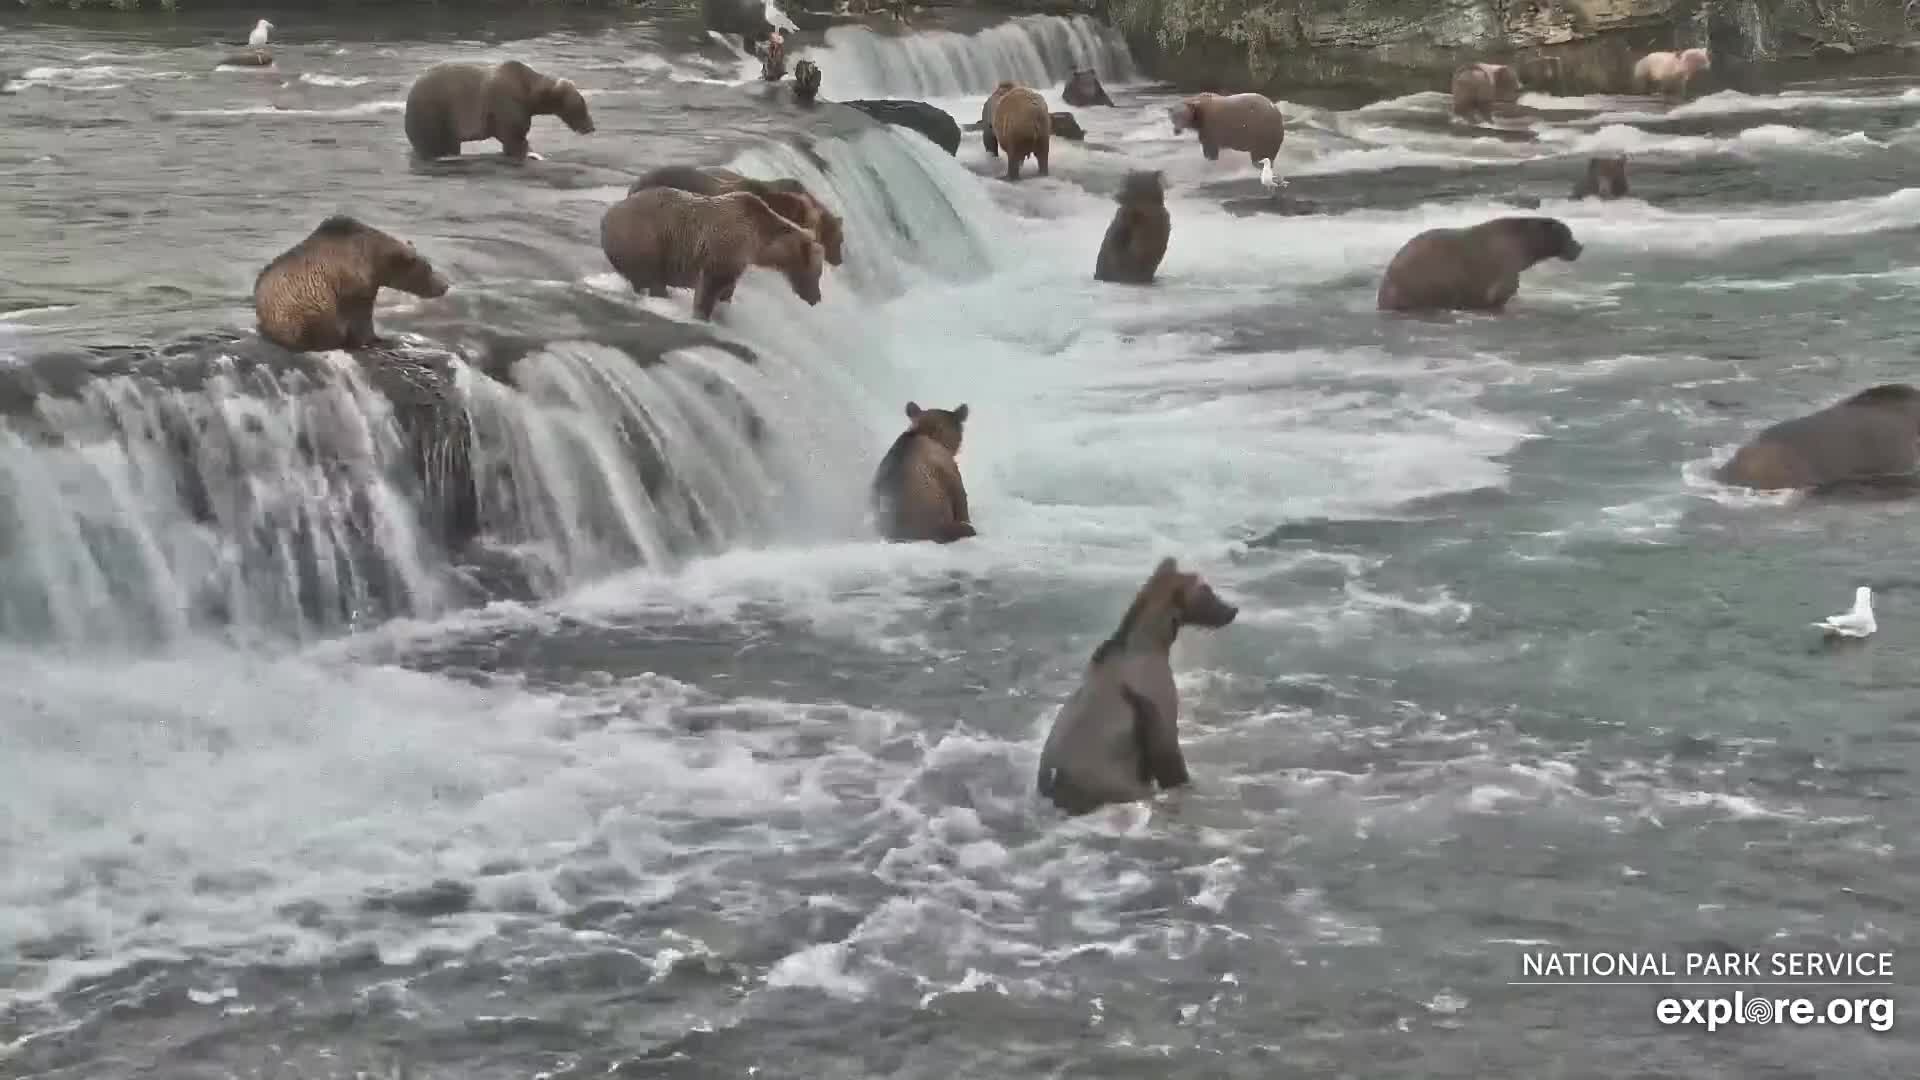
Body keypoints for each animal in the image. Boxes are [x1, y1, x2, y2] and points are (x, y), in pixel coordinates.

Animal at [252, 215, 451, 353]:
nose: (445, 285)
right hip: (299, 307)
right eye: (428, 268)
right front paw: (376, 340)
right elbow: (360, 316)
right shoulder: (352, 284)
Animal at [402, 60, 595, 160]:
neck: (529, 94)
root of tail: (411, 91)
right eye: (582, 105)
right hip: (434, 113)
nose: (591, 127)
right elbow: (515, 138)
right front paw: (533, 154)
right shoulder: (506, 106)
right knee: (432, 142)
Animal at [599, 188, 825, 321]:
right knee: (651, 278)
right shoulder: (726, 248)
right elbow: (711, 285)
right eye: (818, 273)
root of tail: (607, 215)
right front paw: (702, 314)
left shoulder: (736, 259)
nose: (817, 298)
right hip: (647, 241)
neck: (759, 243)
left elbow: (727, 287)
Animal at [1036, 556, 1239, 815]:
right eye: (1207, 590)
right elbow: (1169, 756)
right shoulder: (1156, 701)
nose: (1232, 610)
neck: (1152, 644)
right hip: (1108, 780)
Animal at [1376, 216, 1582, 313]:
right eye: (1569, 234)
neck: (1525, 243)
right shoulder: (1505, 258)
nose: (1580, 247)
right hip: (1423, 281)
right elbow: (1501, 290)